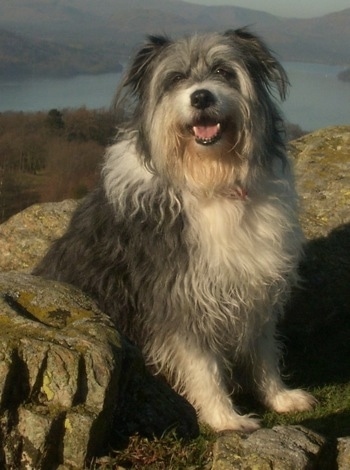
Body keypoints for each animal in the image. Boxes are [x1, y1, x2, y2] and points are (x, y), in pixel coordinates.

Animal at [34, 28, 316, 434]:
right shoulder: (178, 296)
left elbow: (262, 351)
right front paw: (224, 418)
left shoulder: (256, 286)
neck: (210, 180)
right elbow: (203, 365)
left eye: (223, 71)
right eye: (176, 78)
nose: (201, 96)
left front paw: (279, 397)